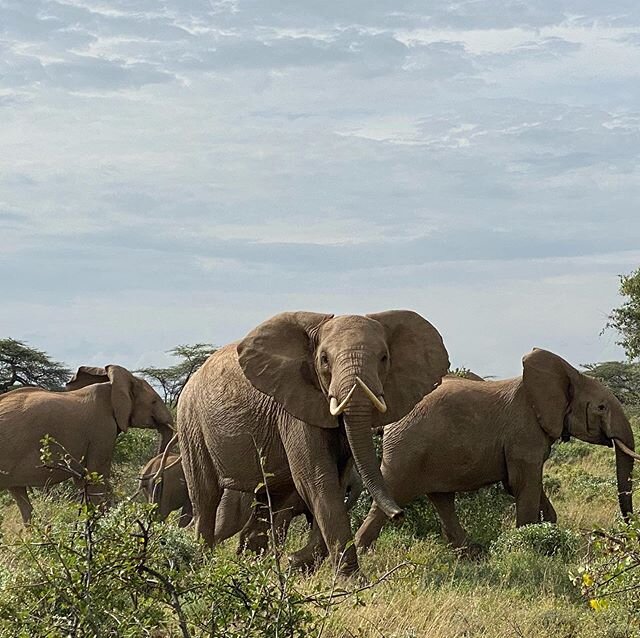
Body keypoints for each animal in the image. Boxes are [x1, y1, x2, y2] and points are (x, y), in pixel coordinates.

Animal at [178, 312, 448, 580]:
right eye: (324, 359)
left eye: (384, 358)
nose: (399, 515)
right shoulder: (293, 407)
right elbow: (316, 478)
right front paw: (350, 581)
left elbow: (335, 480)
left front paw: (298, 563)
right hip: (190, 422)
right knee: (205, 496)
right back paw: (202, 563)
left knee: (268, 497)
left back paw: (252, 564)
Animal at [356, 348, 636, 552]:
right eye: (601, 407)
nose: (626, 531)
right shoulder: (523, 433)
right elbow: (524, 485)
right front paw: (528, 547)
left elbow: (526, 485)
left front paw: (549, 530)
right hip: (406, 447)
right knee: (392, 492)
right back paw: (358, 555)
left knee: (442, 499)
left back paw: (469, 555)